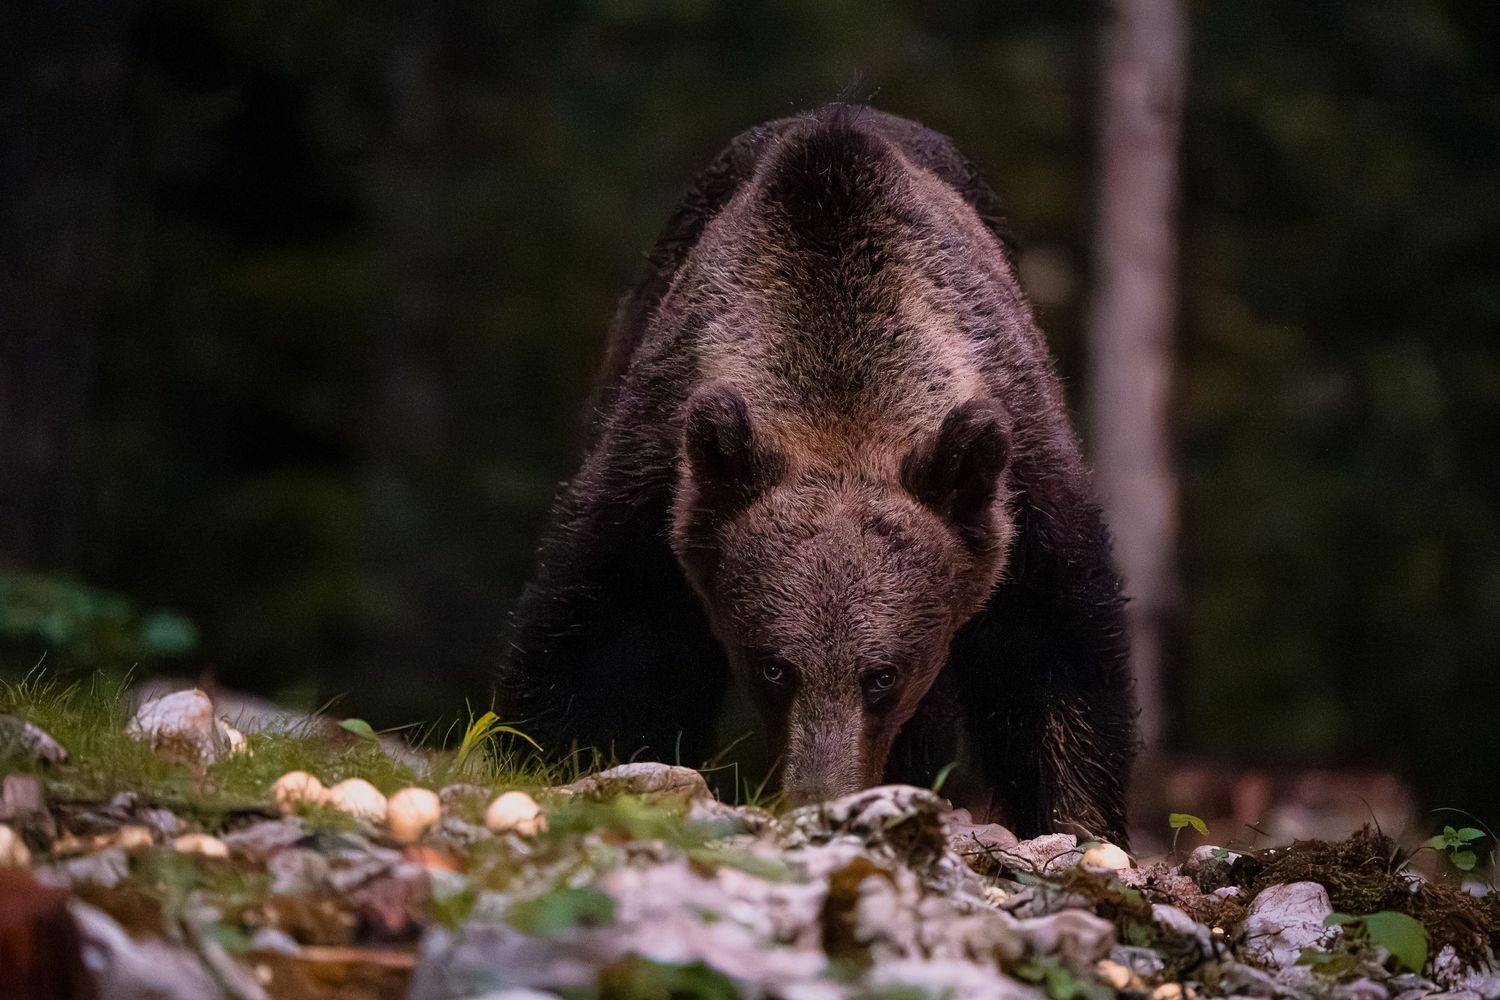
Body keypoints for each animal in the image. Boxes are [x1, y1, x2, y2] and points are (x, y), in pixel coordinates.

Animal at [500, 104, 1138, 842]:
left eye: (881, 675)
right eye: (775, 667)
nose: (818, 794)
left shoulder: (1019, 485)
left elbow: (1055, 653)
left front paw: (1078, 821)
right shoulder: (660, 475)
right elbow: (603, 644)